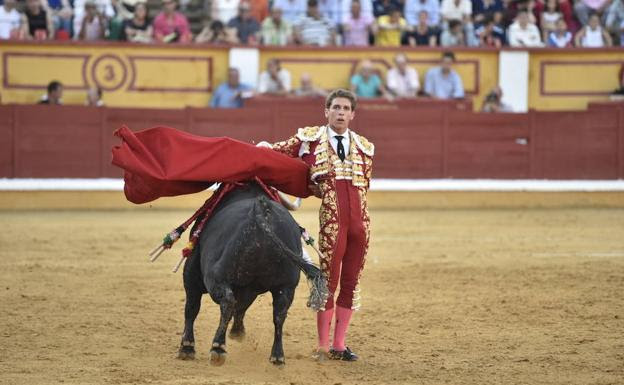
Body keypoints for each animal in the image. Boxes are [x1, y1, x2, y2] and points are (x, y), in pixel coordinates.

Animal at [176, 182, 322, 364]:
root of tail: (261, 210)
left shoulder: (191, 276)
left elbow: (192, 308)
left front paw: (187, 347)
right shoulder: (251, 287)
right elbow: (242, 307)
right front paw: (238, 331)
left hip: (216, 276)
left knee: (227, 302)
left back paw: (218, 347)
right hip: (287, 286)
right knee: (279, 314)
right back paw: (277, 356)